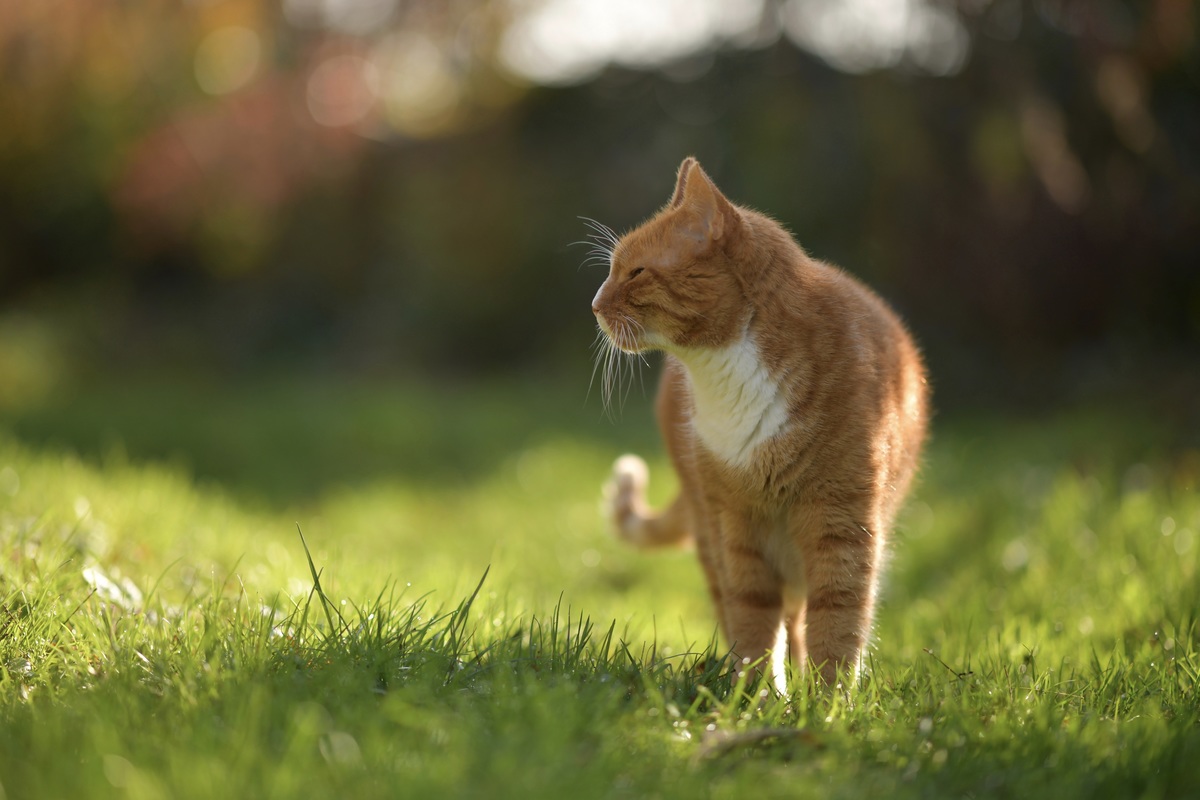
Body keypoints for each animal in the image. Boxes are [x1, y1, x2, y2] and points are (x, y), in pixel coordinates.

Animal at [590, 158, 926, 695]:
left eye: (636, 271)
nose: (594, 306)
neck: (728, 372)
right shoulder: (737, 526)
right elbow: (752, 619)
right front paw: (759, 698)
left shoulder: (841, 523)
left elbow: (839, 618)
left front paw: (829, 702)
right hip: (710, 526)